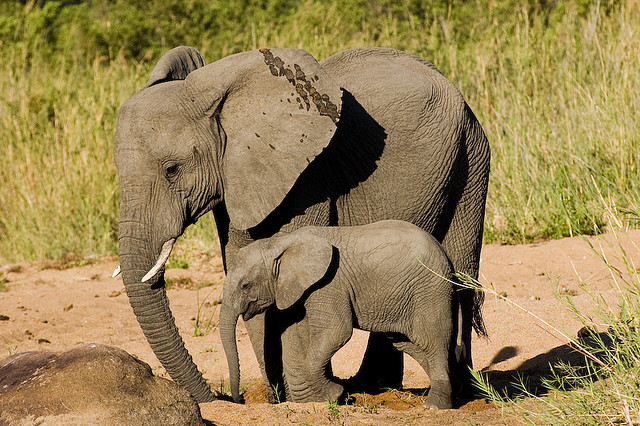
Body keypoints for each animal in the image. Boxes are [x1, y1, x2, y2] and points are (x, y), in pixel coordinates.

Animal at [219, 220, 460, 410]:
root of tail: (447, 257)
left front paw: (335, 394)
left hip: (429, 290)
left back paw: (434, 406)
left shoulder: (329, 284)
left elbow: (336, 332)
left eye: (245, 285)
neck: (280, 243)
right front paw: (329, 397)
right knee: (407, 343)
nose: (239, 400)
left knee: (431, 341)